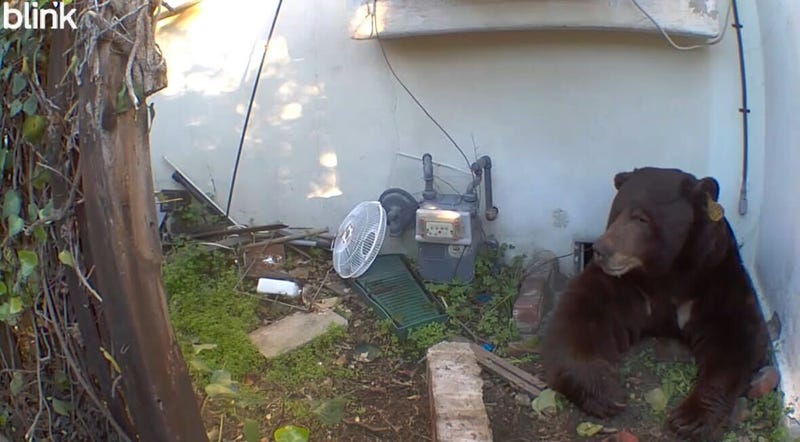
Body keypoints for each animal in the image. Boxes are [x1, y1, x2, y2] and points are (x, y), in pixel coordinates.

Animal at [540, 167, 770, 441]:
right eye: (616, 213)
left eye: (641, 218)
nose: (600, 249)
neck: (667, 273)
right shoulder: (625, 286)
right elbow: (578, 319)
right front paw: (606, 393)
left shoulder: (715, 277)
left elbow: (736, 337)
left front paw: (689, 418)